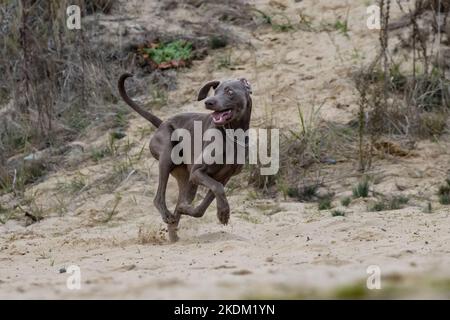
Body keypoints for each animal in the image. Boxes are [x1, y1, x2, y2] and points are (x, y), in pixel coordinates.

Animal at [118, 73, 251, 242]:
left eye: (229, 92)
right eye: (215, 92)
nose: (208, 102)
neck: (231, 135)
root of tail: (163, 123)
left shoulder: (223, 176)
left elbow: (204, 204)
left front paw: (220, 213)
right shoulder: (198, 172)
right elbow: (217, 189)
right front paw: (223, 212)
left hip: (186, 179)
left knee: (179, 206)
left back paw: (174, 234)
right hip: (167, 155)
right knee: (159, 197)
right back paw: (167, 215)